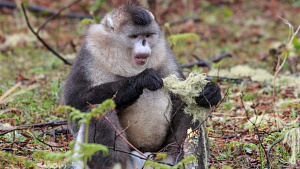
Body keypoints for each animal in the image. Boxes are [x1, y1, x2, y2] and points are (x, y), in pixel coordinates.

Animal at [63, 2, 221, 169]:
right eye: (134, 36)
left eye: (147, 35)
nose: (144, 44)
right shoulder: (89, 54)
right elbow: (74, 101)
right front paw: (140, 80)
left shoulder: (164, 53)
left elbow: (180, 97)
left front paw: (211, 91)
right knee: (100, 108)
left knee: (190, 104)